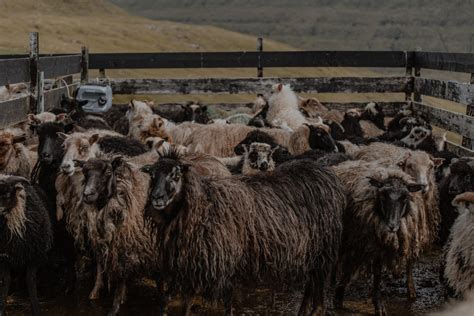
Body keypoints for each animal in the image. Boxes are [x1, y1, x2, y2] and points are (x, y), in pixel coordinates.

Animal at [0, 174, 52, 314]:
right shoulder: (4, 258)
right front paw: (1, 309)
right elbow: (5, 281)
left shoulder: (35, 256)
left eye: (7, 193)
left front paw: (36, 310)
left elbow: (30, 281)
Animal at [143, 150, 346, 314]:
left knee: (318, 294)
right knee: (311, 285)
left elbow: (226, 304)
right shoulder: (192, 265)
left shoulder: (222, 262)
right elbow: (174, 301)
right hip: (312, 252)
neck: (203, 207)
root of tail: (325, 174)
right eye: (152, 175)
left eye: (176, 174)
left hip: (323, 249)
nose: (156, 197)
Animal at [332, 162, 428, 314]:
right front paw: (378, 305)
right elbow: (376, 274)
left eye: (405, 197)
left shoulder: (373, 244)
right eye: (382, 196)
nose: (392, 226)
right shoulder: (369, 244)